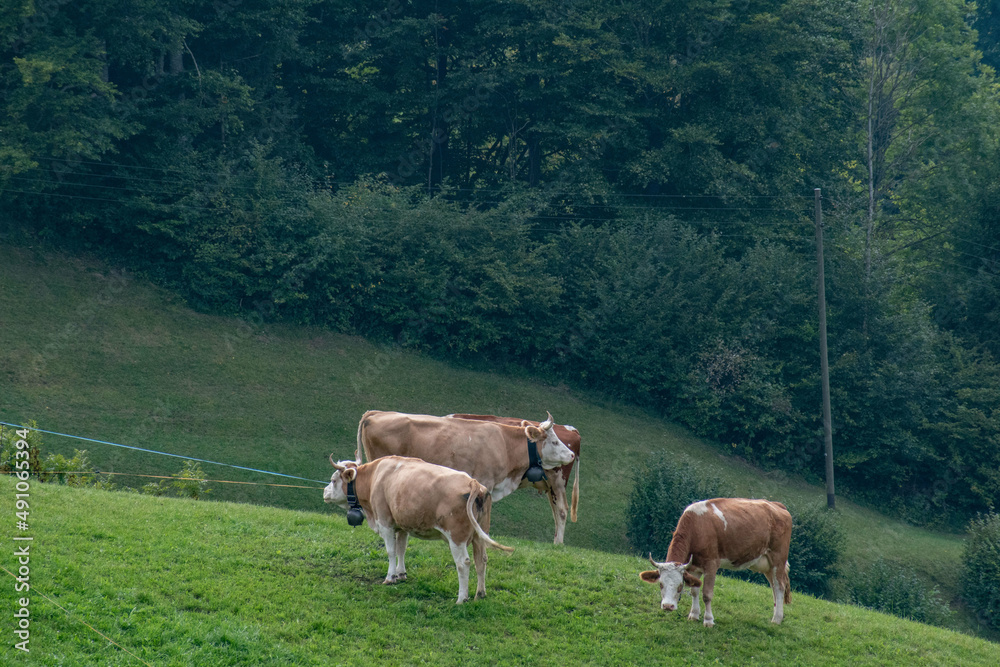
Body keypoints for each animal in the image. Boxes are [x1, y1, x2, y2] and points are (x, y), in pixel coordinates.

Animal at [326, 454, 516, 604]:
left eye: (334, 480)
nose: (325, 492)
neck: (375, 478)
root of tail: (473, 482)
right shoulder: (402, 525)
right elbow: (401, 549)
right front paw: (401, 574)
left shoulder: (385, 522)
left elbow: (391, 551)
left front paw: (390, 577)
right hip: (480, 534)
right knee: (481, 560)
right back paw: (480, 593)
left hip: (456, 537)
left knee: (463, 563)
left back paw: (462, 598)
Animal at [636, 498, 792, 628]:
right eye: (660, 584)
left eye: (680, 586)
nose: (668, 606)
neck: (697, 527)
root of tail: (777, 505)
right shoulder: (693, 567)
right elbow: (694, 590)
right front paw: (694, 615)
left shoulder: (711, 564)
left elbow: (707, 594)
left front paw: (708, 620)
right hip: (766, 564)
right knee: (774, 586)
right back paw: (777, 615)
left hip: (778, 558)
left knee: (779, 586)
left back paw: (777, 619)